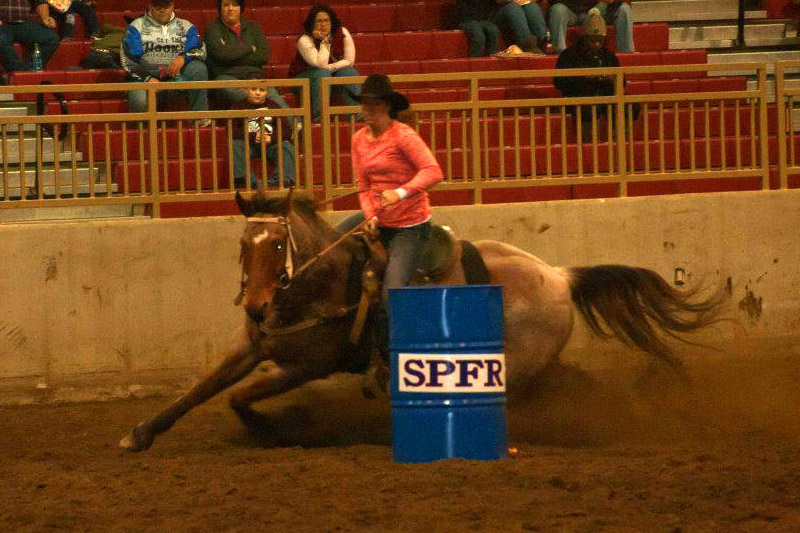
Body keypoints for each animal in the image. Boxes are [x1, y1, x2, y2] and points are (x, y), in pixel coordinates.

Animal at [119, 191, 724, 448]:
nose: (257, 306)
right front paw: (141, 434)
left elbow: (240, 397)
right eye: (245, 245)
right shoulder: (252, 346)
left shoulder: (310, 364)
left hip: (516, 366)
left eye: (276, 244)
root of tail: (558, 275)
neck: (320, 280)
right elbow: (201, 390)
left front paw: (276, 428)